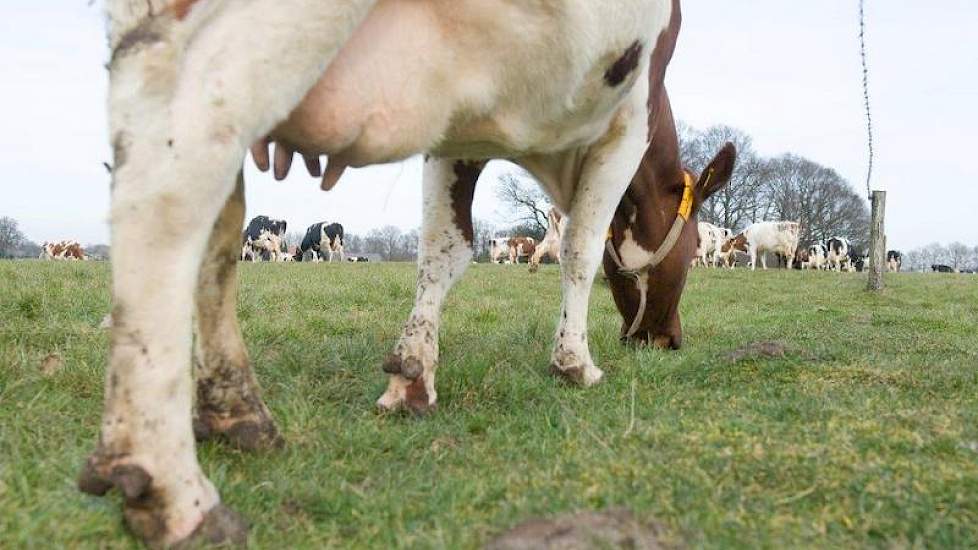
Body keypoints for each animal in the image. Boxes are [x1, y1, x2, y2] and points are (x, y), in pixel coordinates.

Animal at [87, 1, 692, 548]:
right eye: (688, 256)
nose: (669, 340)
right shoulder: (630, 116)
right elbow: (582, 249)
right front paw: (575, 363)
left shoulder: (459, 128)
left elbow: (445, 250)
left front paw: (411, 376)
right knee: (169, 194)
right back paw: (172, 490)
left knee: (219, 229)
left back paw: (236, 414)